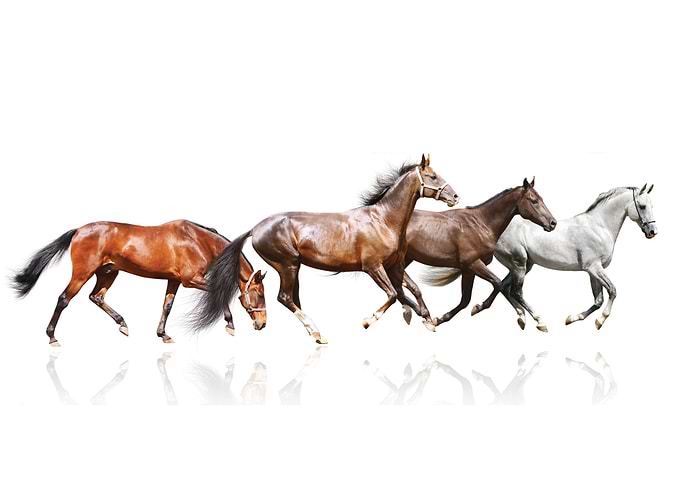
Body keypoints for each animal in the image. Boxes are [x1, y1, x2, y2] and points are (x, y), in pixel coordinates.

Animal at [11, 219, 267, 346]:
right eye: (261, 294)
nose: (262, 324)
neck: (197, 240)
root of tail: (78, 231)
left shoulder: (174, 280)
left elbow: (167, 306)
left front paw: (163, 335)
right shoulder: (190, 280)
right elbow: (220, 294)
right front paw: (230, 325)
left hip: (108, 273)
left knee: (96, 297)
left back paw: (123, 324)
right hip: (83, 273)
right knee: (64, 299)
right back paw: (52, 337)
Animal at [190, 154, 459, 344]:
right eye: (433, 177)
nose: (455, 196)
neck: (384, 220)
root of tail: (255, 229)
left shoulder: (395, 265)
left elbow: (413, 291)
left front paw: (428, 319)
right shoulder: (373, 267)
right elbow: (393, 294)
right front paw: (368, 321)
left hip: (293, 268)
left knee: (293, 298)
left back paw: (315, 332)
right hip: (287, 265)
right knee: (285, 297)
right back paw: (317, 334)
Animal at [403, 178, 557, 331]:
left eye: (541, 199)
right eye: (534, 201)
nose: (553, 223)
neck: (480, 224)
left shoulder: (468, 270)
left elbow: (465, 300)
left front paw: (437, 320)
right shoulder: (473, 263)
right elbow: (498, 283)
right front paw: (479, 307)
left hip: (407, 258)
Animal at [471, 184, 657, 330]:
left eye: (652, 205)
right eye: (642, 206)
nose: (652, 232)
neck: (599, 227)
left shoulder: (592, 271)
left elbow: (598, 299)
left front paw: (572, 318)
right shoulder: (594, 268)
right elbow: (612, 290)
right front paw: (600, 321)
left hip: (523, 266)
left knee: (503, 286)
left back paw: (500, 312)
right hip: (519, 265)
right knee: (515, 291)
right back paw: (539, 322)